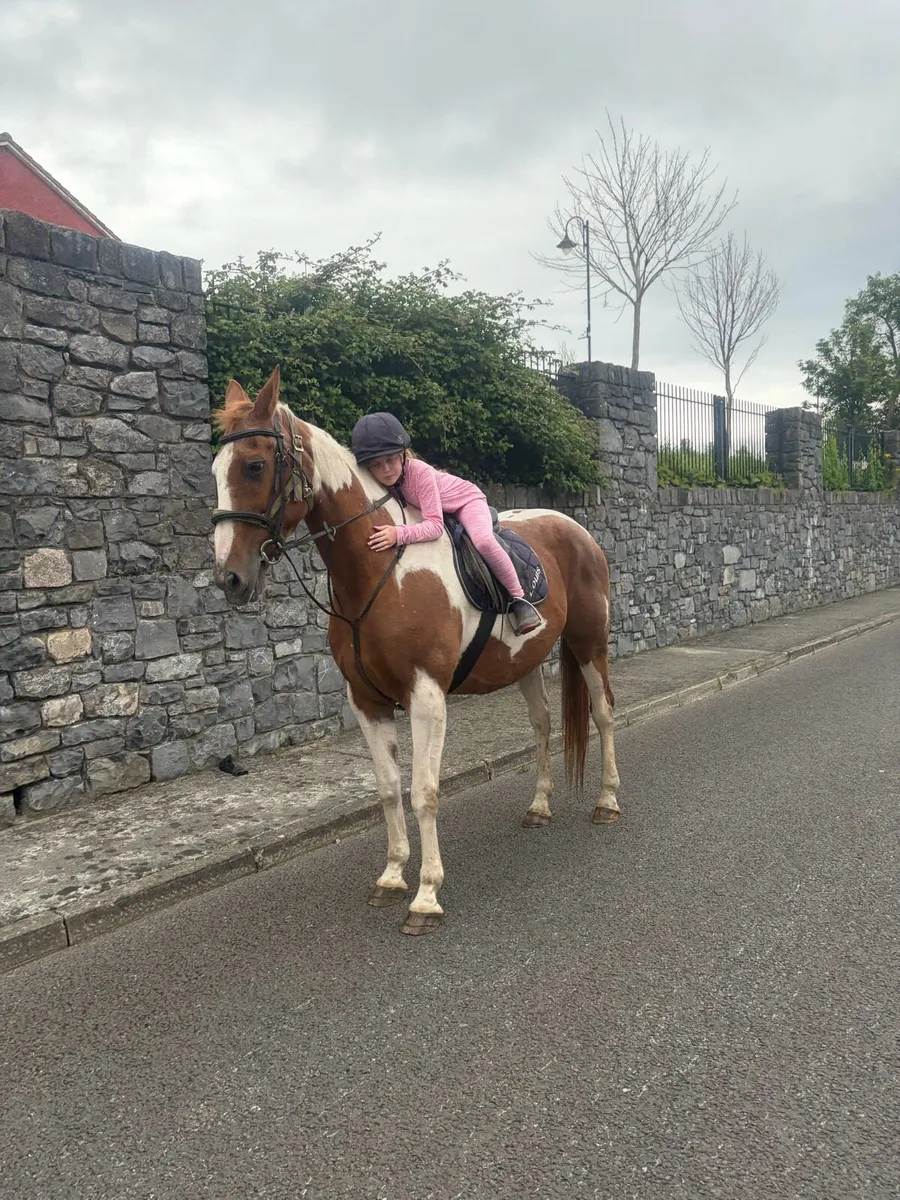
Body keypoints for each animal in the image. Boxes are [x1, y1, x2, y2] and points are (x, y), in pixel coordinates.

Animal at [211, 367, 621, 935]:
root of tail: (574, 527)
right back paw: (539, 806)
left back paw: (607, 801)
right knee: (541, 725)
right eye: (215, 469)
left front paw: (427, 895)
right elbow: (388, 788)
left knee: (603, 714)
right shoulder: (366, 701)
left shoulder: (427, 696)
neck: (381, 571)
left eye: (254, 464)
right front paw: (391, 877)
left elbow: (424, 791)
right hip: (526, 661)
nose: (230, 578)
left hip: (588, 645)